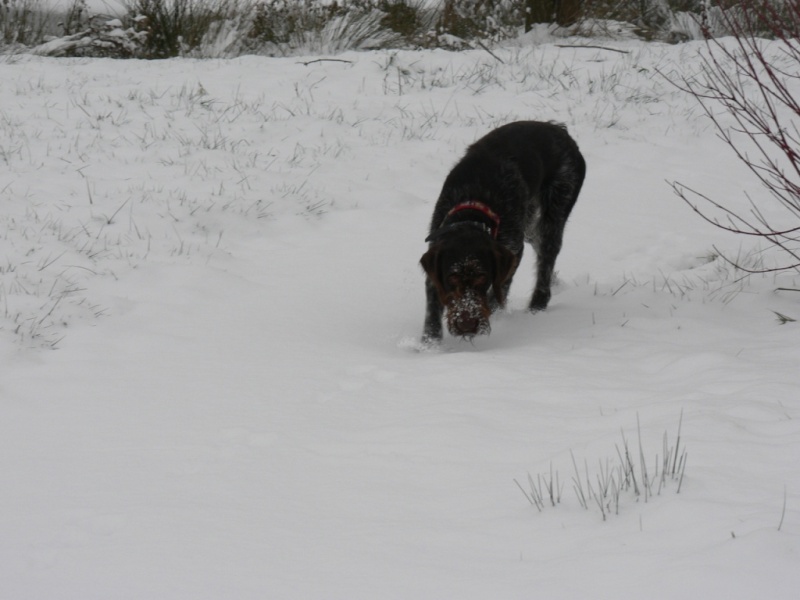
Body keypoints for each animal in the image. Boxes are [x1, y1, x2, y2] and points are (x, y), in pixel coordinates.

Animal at [422, 120, 584, 344]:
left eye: (483, 277)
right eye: (451, 278)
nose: (467, 326)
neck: (474, 206)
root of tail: (559, 128)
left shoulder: (512, 249)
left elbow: (501, 288)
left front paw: (496, 315)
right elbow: (432, 310)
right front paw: (429, 345)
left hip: (557, 206)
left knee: (547, 258)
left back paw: (538, 305)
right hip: (529, 223)